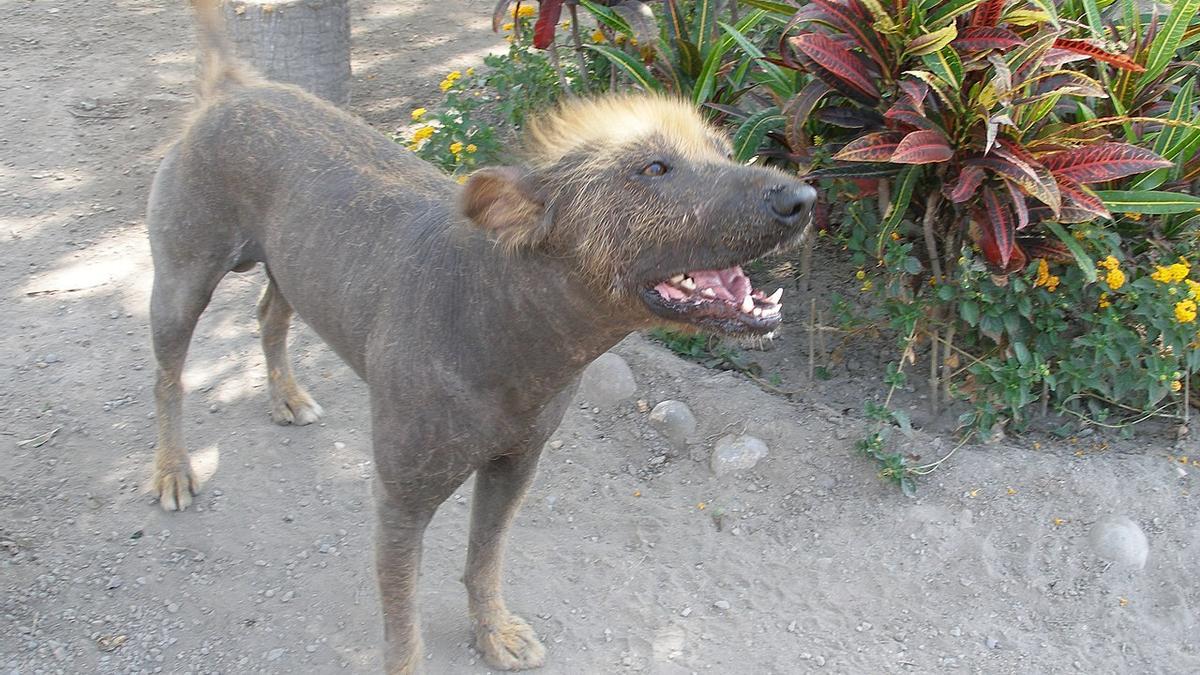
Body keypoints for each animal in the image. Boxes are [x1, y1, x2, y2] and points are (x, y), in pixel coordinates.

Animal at [142, 3, 816, 667]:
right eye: (654, 167)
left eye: (724, 149)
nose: (803, 195)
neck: (500, 321)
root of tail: (232, 88)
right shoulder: (400, 502)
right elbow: (403, 634)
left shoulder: (514, 468)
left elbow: (483, 560)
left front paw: (492, 632)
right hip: (181, 285)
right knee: (167, 379)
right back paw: (173, 469)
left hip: (290, 267)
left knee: (267, 315)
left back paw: (284, 394)